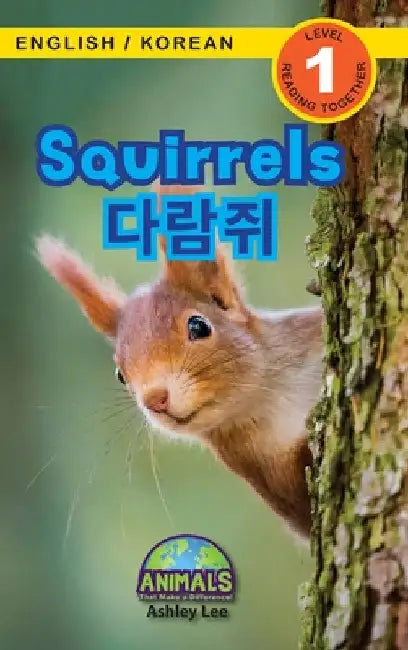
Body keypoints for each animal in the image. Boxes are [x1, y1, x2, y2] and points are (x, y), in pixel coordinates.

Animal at [36, 184, 323, 539]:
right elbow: (303, 507)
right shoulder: (266, 474)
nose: (155, 399)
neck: (272, 396)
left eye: (198, 326)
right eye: (119, 374)